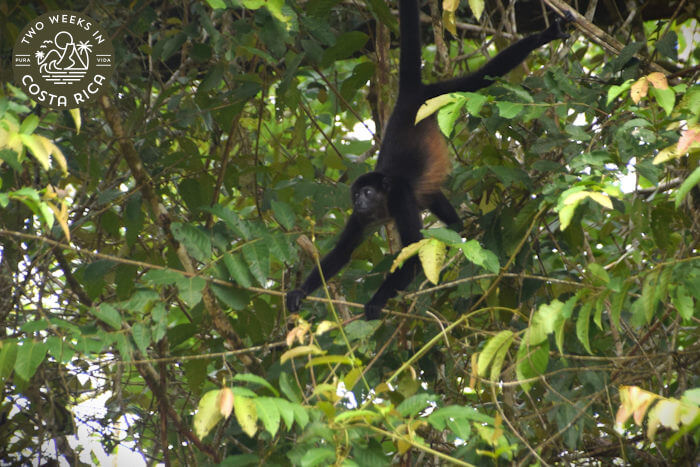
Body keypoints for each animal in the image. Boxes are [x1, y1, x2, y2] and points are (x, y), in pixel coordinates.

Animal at [287, 0, 574, 320]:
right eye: (356, 195)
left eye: (368, 192)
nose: (359, 200)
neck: (384, 203)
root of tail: (409, 97)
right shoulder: (361, 217)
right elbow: (341, 253)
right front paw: (299, 292)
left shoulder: (400, 197)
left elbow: (413, 254)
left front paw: (376, 301)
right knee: (433, 196)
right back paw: (456, 226)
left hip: (436, 94)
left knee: (480, 77)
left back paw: (545, 35)